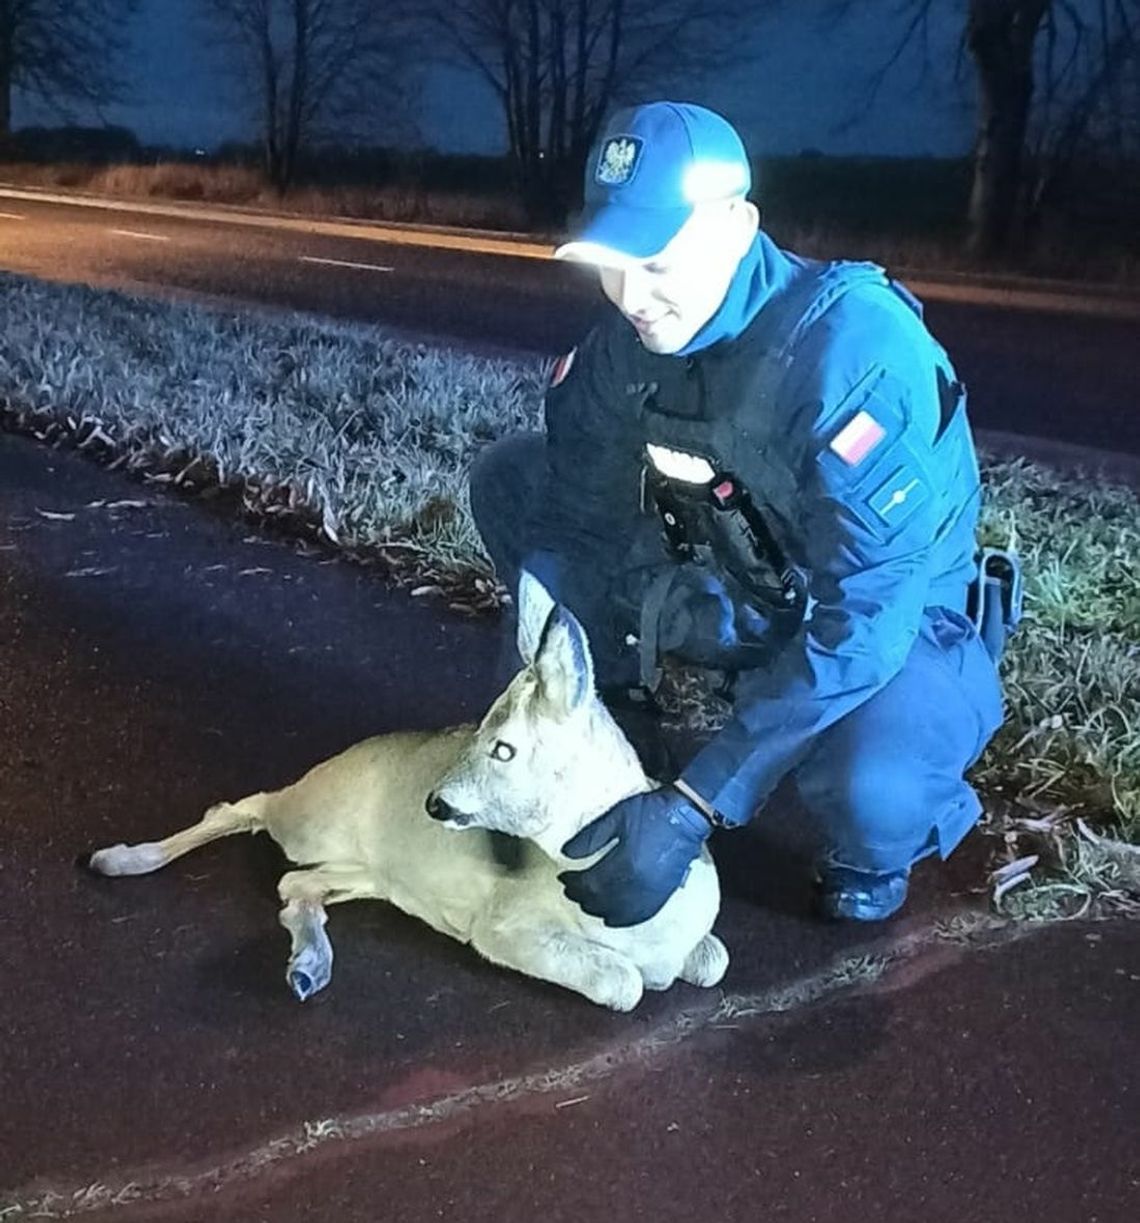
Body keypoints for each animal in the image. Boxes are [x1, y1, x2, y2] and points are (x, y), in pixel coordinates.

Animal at [91, 572, 729, 1012]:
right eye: (478, 728)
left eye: (503, 748)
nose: (435, 802)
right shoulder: (504, 926)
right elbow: (623, 983)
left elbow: (716, 960)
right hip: (312, 818)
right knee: (246, 808)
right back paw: (120, 859)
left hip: (371, 873)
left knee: (295, 885)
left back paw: (308, 968)